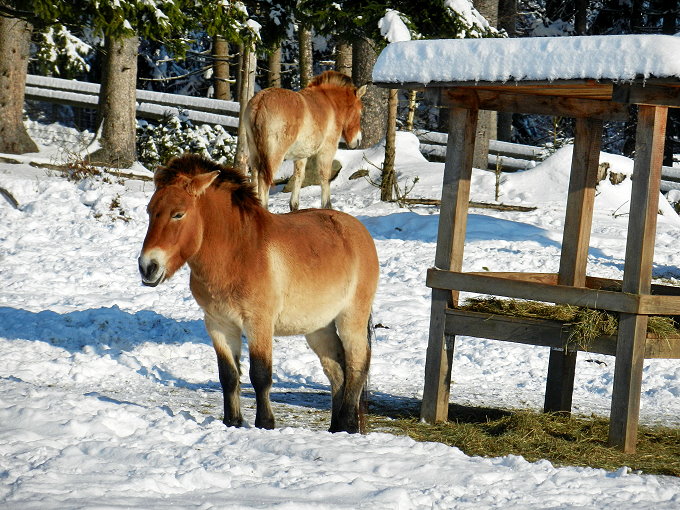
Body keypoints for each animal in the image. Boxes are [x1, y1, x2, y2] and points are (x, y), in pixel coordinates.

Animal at [137, 153, 382, 432]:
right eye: (150, 211)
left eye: (178, 214)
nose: (147, 267)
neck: (237, 253)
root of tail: (358, 231)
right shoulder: (218, 324)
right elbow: (228, 375)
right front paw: (232, 422)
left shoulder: (259, 323)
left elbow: (260, 375)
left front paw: (265, 423)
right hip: (319, 326)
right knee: (337, 369)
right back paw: (336, 427)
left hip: (351, 318)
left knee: (357, 365)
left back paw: (348, 425)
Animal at [244, 70, 366, 210]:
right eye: (360, 112)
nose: (358, 141)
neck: (330, 103)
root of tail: (260, 102)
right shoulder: (327, 150)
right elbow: (324, 176)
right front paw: (327, 206)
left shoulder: (300, 156)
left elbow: (299, 177)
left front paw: (294, 206)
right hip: (273, 156)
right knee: (264, 180)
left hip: (254, 154)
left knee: (254, 177)